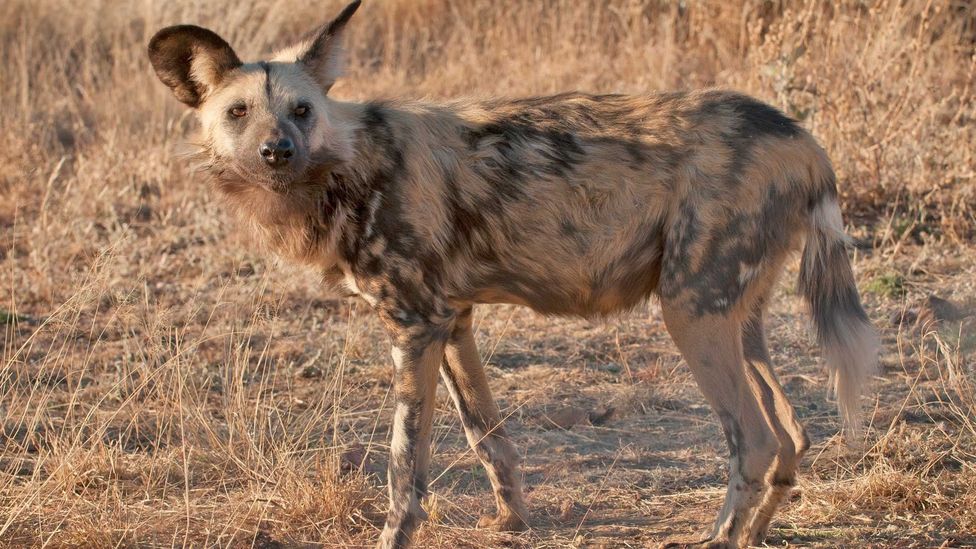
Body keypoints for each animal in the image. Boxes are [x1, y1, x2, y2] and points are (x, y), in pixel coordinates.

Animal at [149, 2, 880, 544]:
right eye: (239, 113)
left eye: (302, 110)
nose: (277, 151)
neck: (349, 168)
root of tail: (799, 138)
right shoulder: (452, 323)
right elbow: (487, 436)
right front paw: (512, 522)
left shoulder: (414, 326)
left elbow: (403, 465)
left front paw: (397, 533)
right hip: (737, 317)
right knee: (792, 434)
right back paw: (755, 532)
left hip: (690, 313)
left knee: (753, 442)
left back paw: (722, 538)